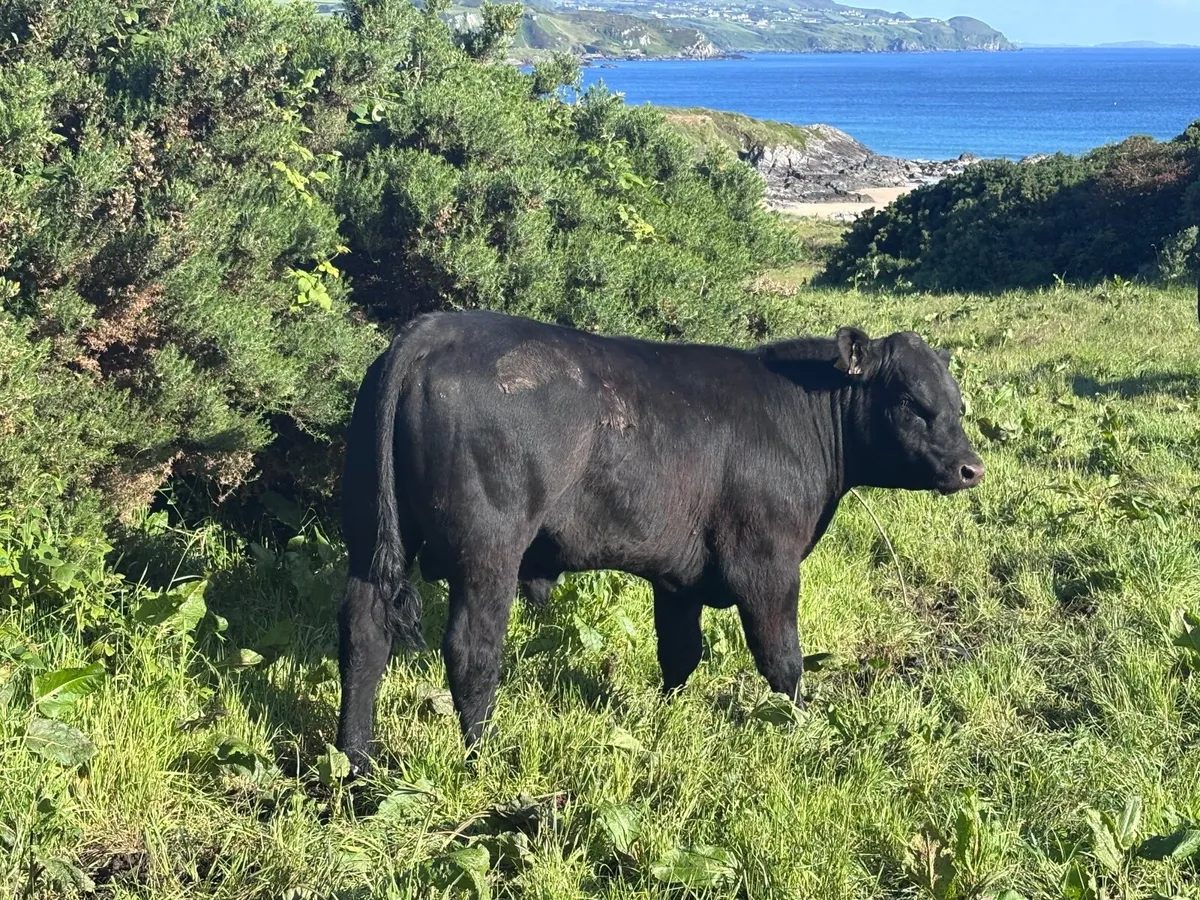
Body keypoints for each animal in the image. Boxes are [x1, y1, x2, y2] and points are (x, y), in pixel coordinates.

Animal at [335, 310, 984, 773]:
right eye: (910, 400)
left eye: (957, 401)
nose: (971, 467)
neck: (797, 415)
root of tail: (433, 330)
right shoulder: (767, 562)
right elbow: (783, 658)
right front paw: (803, 729)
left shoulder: (681, 575)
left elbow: (680, 652)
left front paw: (663, 719)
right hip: (488, 548)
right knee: (471, 649)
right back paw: (483, 756)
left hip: (368, 534)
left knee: (364, 633)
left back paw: (356, 758)